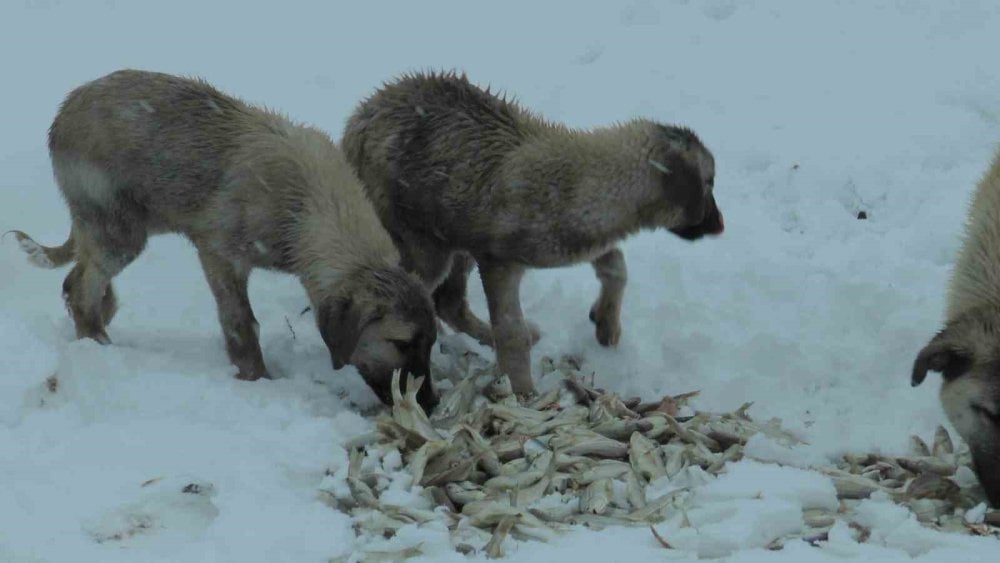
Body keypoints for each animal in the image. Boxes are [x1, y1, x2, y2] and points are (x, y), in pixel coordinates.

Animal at [7, 70, 438, 412]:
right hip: (118, 228)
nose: (430, 404)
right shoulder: (219, 254)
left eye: (431, 343)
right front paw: (258, 382)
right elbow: (241, 326)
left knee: (81, 281)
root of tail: (68, 105)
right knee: (83, 286)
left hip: (120, 226)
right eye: (400, 343)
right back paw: (96, 344)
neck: (309, 207)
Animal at [342, 70, 720, 396]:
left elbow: (615, 266)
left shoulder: (584, 238)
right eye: (710, 182)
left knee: (448, 302)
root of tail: (360, 116)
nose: (720, 227)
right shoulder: (499, 263)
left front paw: (606, 325)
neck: (583, 184)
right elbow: (512, 331)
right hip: (423, 241)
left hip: (455, 238)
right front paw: (524, 391)